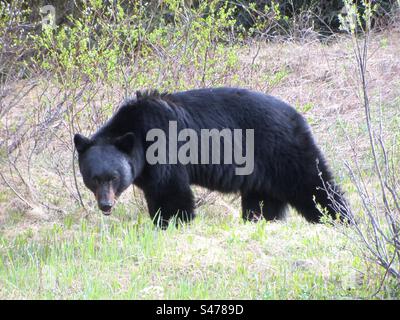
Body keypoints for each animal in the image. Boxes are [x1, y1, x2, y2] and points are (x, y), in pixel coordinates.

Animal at [75, 87, 350, 228]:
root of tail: (297, 114)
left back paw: (341, 218)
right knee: (263, 200)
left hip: (281, 150)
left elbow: (171, 190)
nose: (105, 205)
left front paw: (174, 222)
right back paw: (260, 221)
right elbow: (156, 192)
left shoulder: (164, 148)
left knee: (313, 184)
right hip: (262, 170)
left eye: (113, 177)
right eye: (93, 178)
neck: (138, 131)